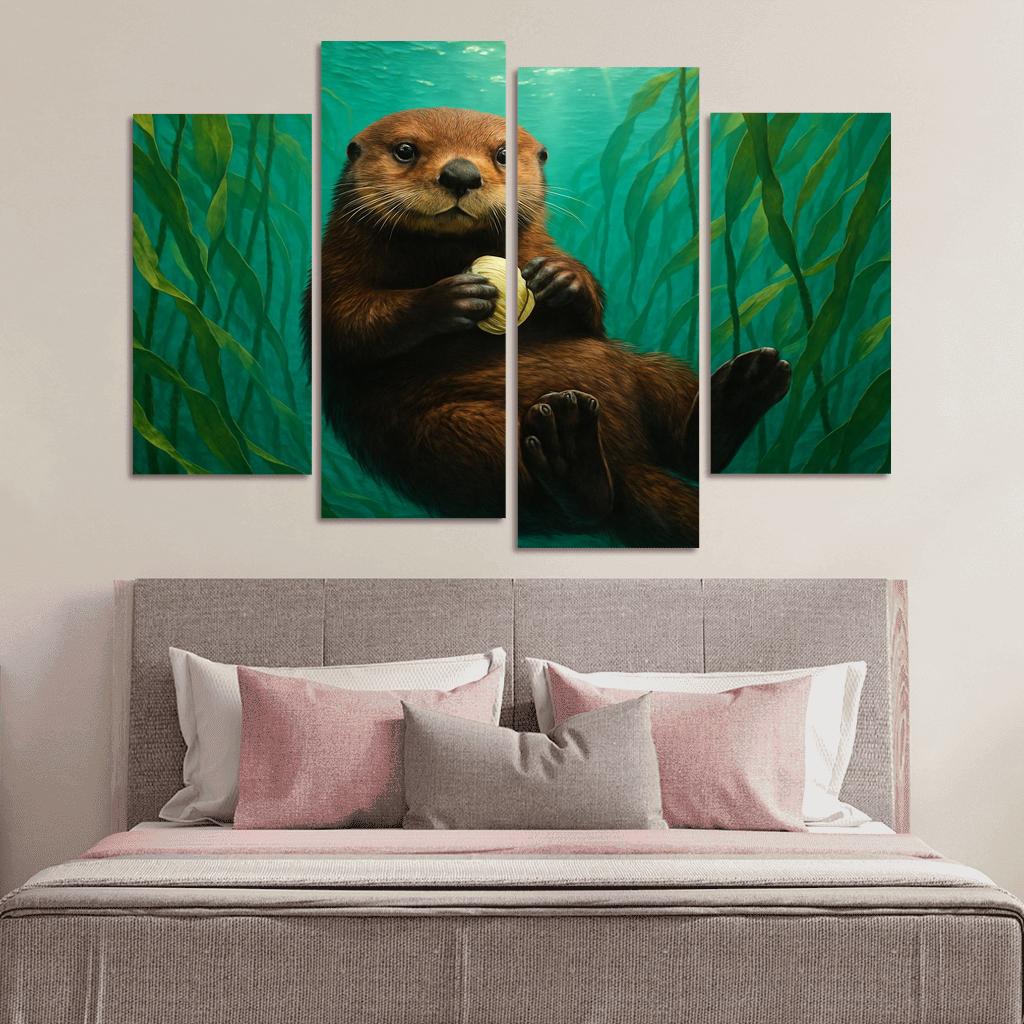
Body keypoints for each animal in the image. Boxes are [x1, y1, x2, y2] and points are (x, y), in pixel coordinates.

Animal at [313, 107, 790, 545]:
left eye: (503, 153)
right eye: (405, 150)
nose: (461, 173)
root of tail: (629, 461)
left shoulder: (542, 248)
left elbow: (592, 319)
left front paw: (564, 279)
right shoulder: (333, 270)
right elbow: (348, 321)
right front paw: (450, 296)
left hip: (648, 371)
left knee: (680, 435)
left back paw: (741, 389)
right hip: (451, 435)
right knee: (568, 501)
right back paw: (571, 451)